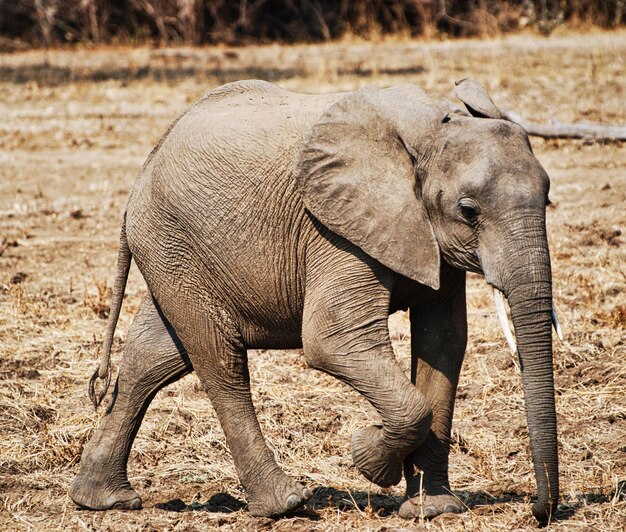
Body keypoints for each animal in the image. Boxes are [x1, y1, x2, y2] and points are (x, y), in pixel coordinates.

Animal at [70, 79, 560, 524]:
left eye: (548, 197)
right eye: (468, 210)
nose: (540, 512)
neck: (431, 128)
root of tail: (147, 163)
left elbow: (443, 342)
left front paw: (435, 510)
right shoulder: (335, 228)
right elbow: (333, 339)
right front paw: (367, 458)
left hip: (171, 249)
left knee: (154, 355)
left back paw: (103, 501)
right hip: (174, 240)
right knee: (219, 360)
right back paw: (286, 504)